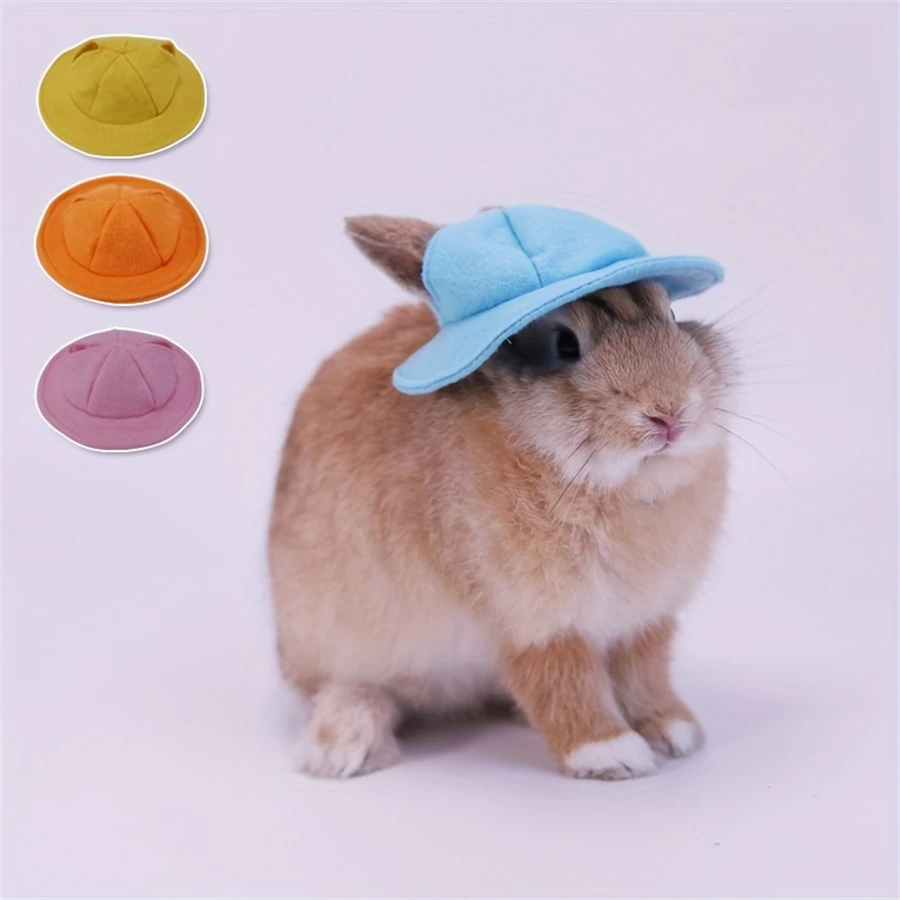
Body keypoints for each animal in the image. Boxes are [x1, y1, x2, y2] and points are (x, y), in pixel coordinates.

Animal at [268, 213, 735, 780]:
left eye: (668, 312)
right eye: (564, 344)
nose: (669, 414)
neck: (617, 483)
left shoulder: (643, 619)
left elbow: (645, 673)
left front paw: (675, 731)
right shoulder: (531, 620)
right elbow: (561, 680)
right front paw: (612, 754)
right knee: (350, 689)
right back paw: (341, 748)